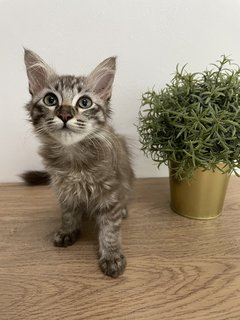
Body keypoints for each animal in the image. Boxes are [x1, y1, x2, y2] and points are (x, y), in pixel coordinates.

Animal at [22, 49, 134, 278]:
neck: (73, 157)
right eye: (50, 100)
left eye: (84, 103)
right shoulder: (63, 188)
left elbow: (110, 229)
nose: (65, 114)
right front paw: (68, 230)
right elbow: (68, 214)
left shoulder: (110, 192)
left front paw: (111, 255)